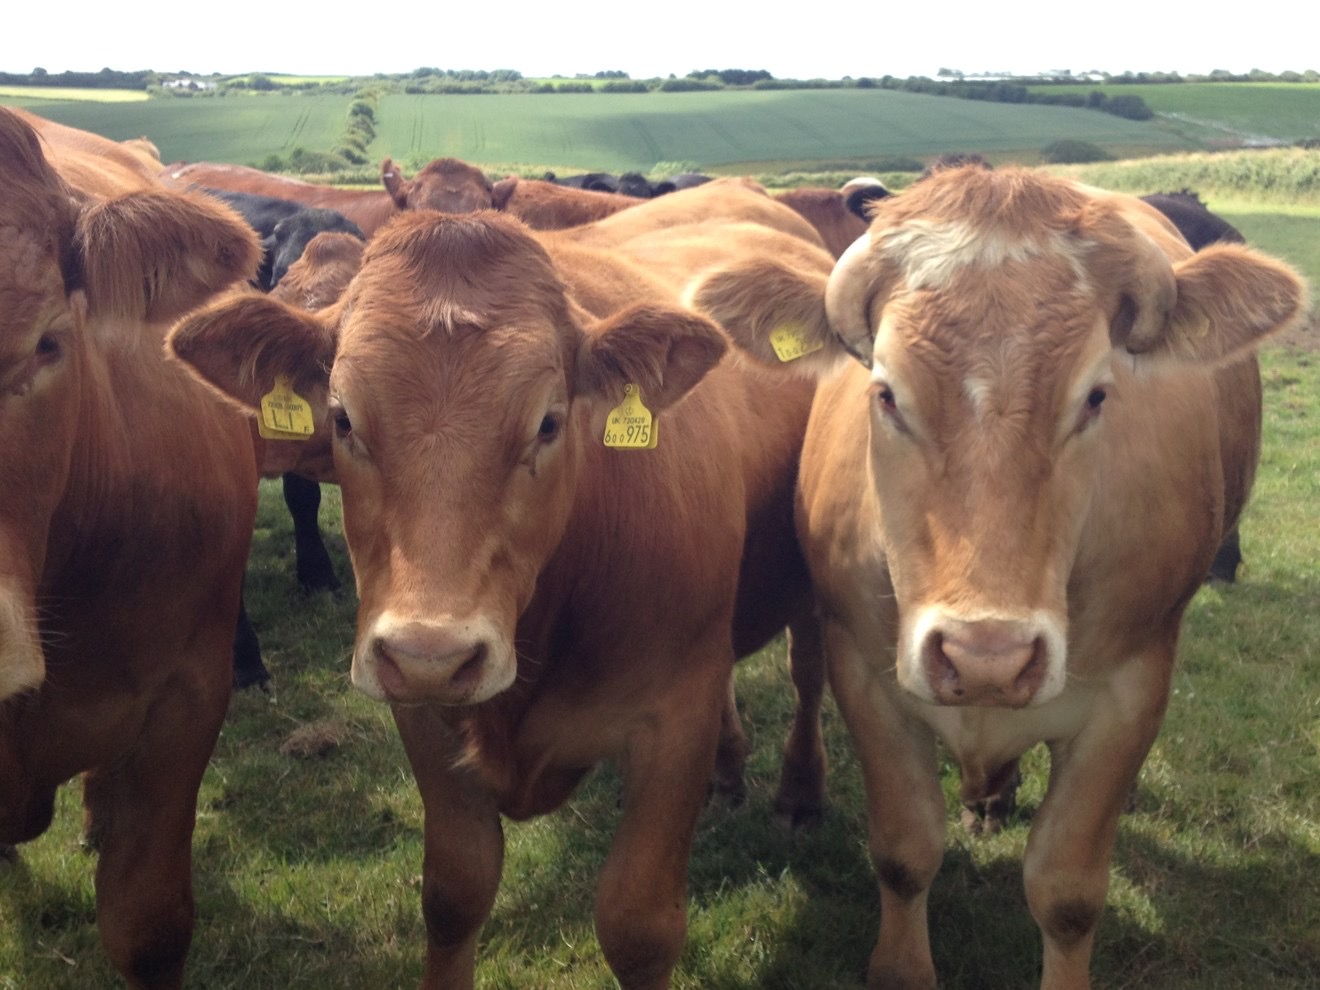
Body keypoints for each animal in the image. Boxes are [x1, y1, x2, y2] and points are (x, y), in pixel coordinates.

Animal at [167, 193, 838, 988]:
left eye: (549, 422)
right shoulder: (424, 716)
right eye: (342, 418)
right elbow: (455, 894)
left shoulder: (675, 719)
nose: (431, 653)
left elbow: (638, 926)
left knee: (807, 673)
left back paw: (800, 794)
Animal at [690, 164, 1307, 989]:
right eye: (885, 392)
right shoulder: (865, 676)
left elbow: (1068, 891)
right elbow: (905, 852)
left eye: (1097, 395)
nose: (988, 657)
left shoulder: (1131, 695)